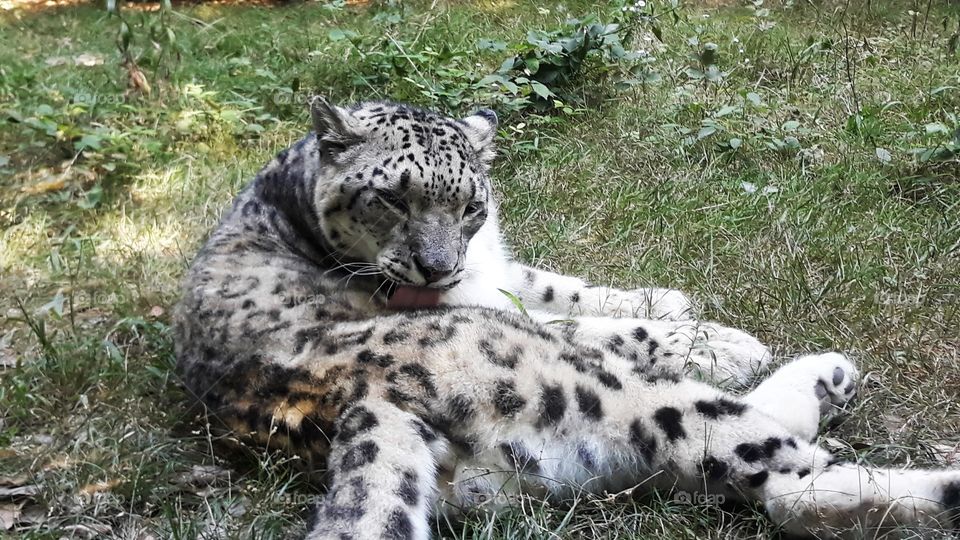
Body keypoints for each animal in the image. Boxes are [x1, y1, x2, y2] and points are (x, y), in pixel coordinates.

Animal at [173, 97, 960, 539]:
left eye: (471, 205)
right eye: (390, 197)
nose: (436, 267)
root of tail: (356, 406)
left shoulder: (497, 269)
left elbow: (560, 286)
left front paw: (662, 296)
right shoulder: (482, 304)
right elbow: (588, 324)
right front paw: (714, 337)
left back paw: (825, 378)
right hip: (585, 384)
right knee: (781, 481)